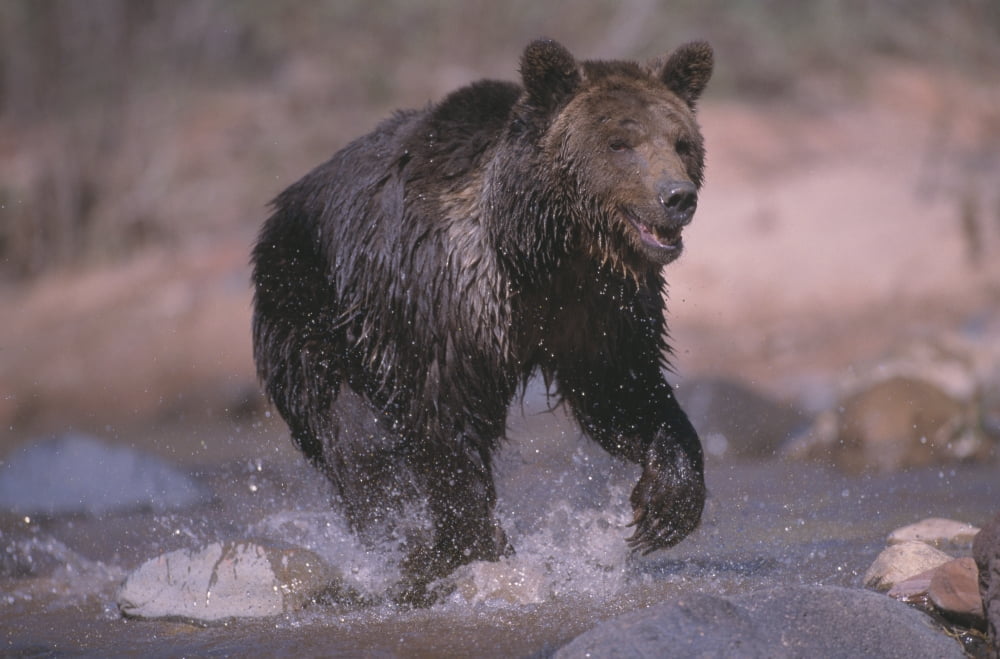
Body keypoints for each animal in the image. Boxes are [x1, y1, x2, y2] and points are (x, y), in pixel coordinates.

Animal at [251, 38, 713, 604]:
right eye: (619, 143)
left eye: (682, 142)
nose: (677, 196)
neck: (542, 248)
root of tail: (282, 203)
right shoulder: (447, 298)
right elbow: (443, 419)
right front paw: (475, 546)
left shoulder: (600, 308)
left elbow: (624, 393)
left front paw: (666, 506)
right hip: (309, 305)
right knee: (355, 439)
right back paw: (405, 544)